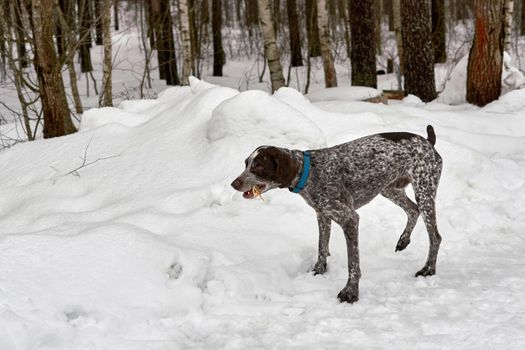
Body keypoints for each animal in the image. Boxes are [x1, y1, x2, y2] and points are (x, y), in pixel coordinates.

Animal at [231, 126, 440, 304]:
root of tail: (427, 141)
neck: (310, 172)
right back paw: (403, 240)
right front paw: (319, 270)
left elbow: (353, 264)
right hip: (389, 189)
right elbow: (322, 247)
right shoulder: (323, 215)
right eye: (246, 163)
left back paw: (428, 269)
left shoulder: (349, 219)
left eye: (258, 166)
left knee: (435, 236)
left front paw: (350, 292)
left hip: (424, 192)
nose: (234, 183)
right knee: (413, 209)